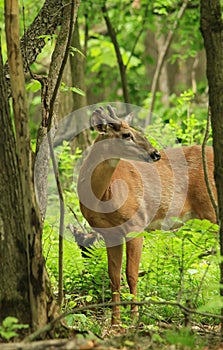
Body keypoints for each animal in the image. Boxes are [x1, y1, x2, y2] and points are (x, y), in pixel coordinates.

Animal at [77, 106, 218, 326]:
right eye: (127, 134)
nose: (156, 153)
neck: (104, 195)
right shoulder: (110, 233)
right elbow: (114, 276)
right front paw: (115, 322)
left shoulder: (136, 225)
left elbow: (132, 274)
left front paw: (135, 318)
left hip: (211, 208)